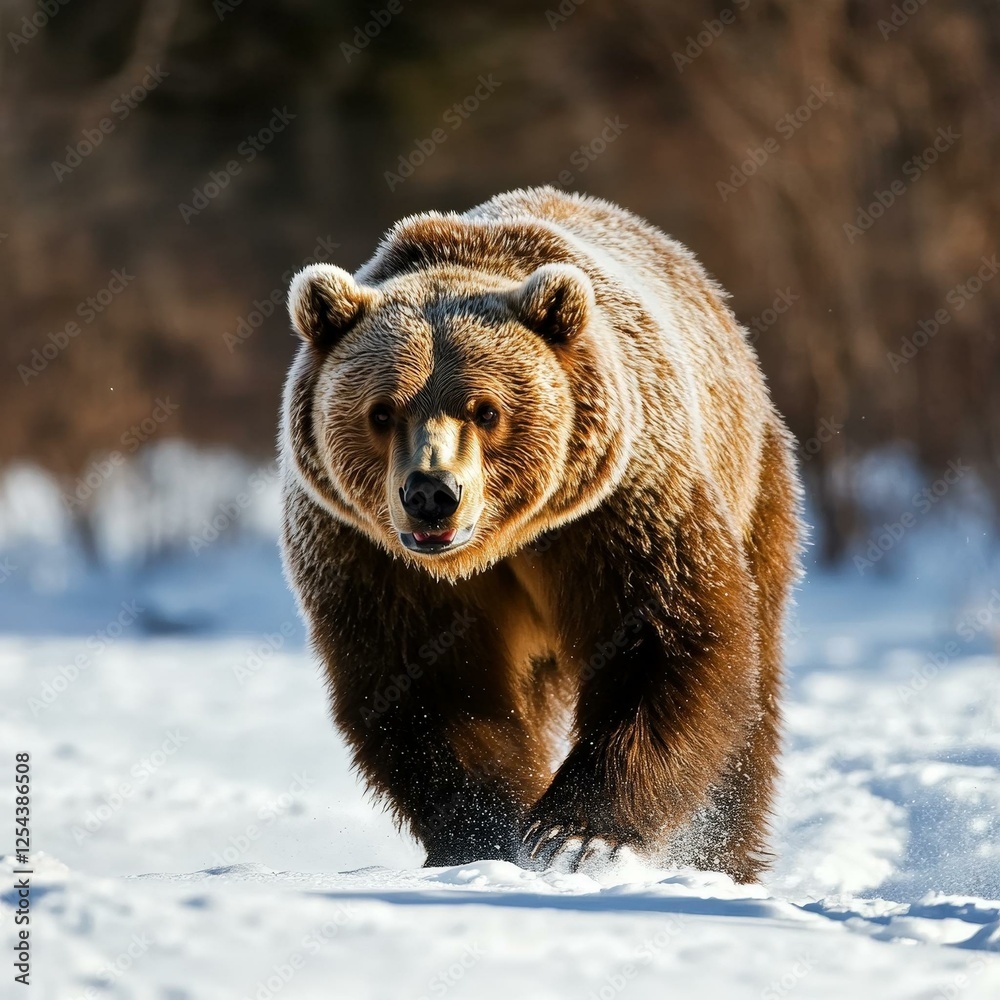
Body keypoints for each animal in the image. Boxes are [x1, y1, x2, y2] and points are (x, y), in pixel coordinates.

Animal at [279, 186, 802, 882]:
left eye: (486, 409)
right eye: (382, 411)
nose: (431, 494)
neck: (498, 546)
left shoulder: (618, 511)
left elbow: (664, 639)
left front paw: (575, 837)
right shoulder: (370, 556)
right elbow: (431, 685)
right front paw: (485, 831)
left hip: (753, 481)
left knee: (753, 690)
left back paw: (726, 857)